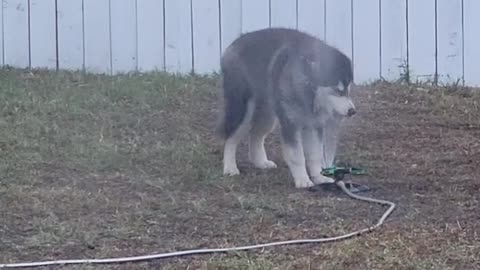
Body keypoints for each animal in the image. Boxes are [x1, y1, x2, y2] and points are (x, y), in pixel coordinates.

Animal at [216, 27, 354, 188]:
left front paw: (319, 177)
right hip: (243, 111)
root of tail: (234, 44)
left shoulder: (315, 125)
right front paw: (302, 179)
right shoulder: (290, 123)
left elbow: (315, 155)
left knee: (255, 135)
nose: (352, 111)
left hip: (268, 116)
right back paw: (230, 167)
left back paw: (260, 162)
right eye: (337, 90)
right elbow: (297, 155)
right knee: (231, 137)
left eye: (348, 89)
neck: (309, 95)